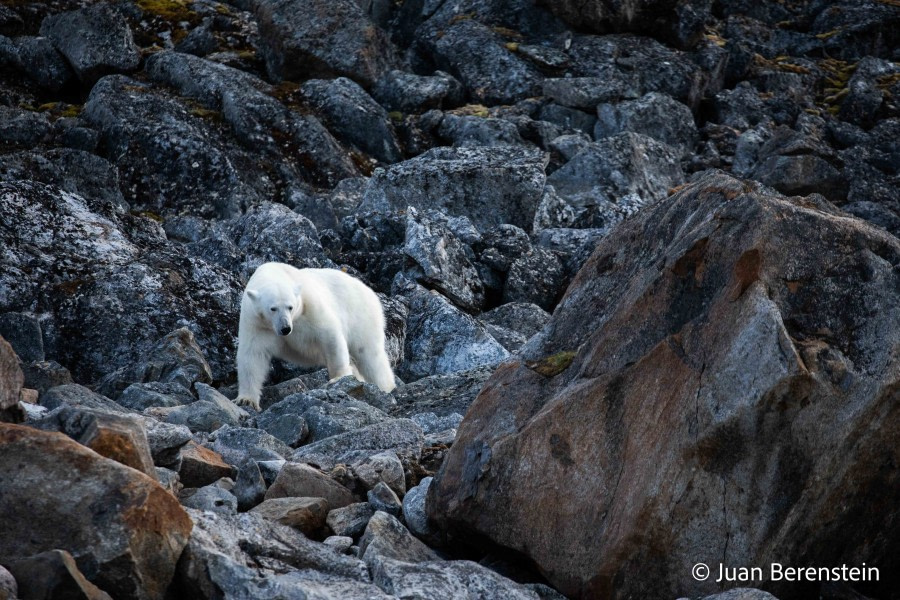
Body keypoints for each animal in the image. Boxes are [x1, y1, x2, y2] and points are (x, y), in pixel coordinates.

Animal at [236, 264, 394, 412]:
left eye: (290, 307)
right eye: (273, 308)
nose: (286, 328)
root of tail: (369, 291)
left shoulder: (309, 307)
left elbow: (329, 335)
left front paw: (338, 377)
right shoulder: (256, 323)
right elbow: (253, 355)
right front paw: (246, 400)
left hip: (361, 316)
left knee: (369, 355)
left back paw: (386, 387)